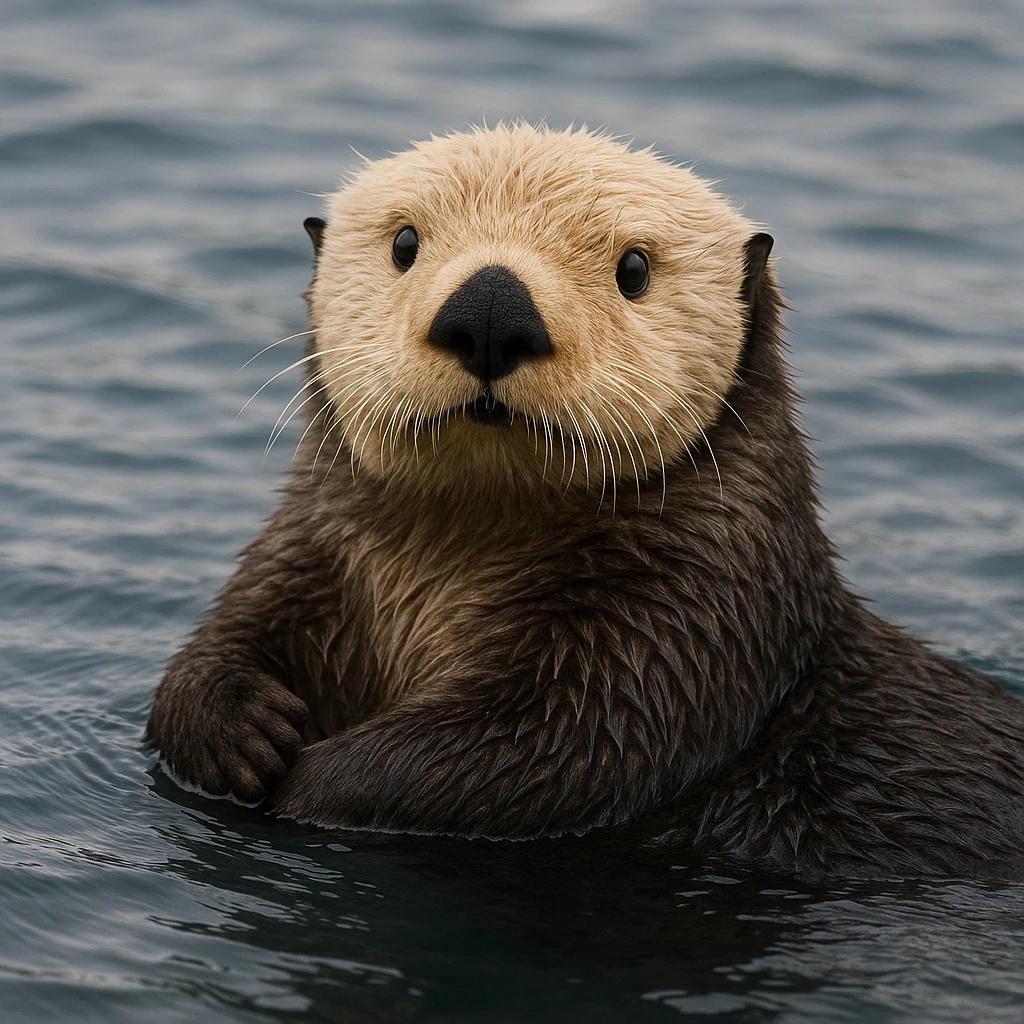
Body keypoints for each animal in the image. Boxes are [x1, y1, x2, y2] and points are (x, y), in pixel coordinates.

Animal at [147, 124, 1024, 880]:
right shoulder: (312, 558)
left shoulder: (677, 628)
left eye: (634, 269)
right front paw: (238, 728)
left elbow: (538, 748)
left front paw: (314, 780)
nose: (489, 310)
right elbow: (224, 638)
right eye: (404, 244)